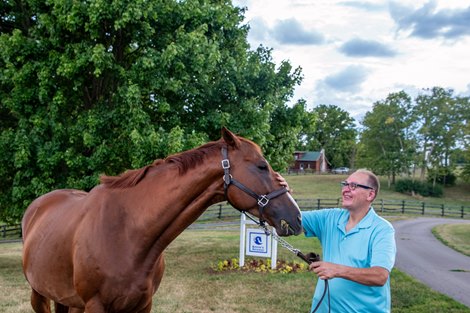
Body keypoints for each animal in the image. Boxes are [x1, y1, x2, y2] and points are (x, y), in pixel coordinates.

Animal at [22, 127, 302, 312]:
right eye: (261, 166)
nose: (296, 217)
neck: (127, 234)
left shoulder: (143, 305)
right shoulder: (94, 306)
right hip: (40, 295)